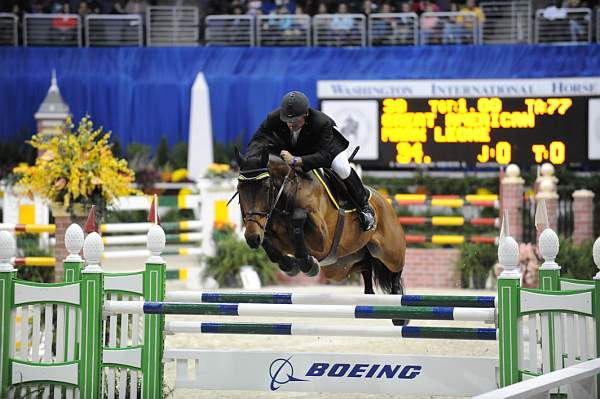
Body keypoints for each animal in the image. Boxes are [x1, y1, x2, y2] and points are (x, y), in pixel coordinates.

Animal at [234, 150, 408, 324]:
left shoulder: (321, 240)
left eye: (266, 188)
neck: (288, 194)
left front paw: (307, 264)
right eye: (239, 188)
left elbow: (298, 217)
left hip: (389, 252)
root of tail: (384, 201)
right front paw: (290, 265)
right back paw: (369, 294)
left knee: (395, 271)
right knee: (365, 264)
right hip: (339, 266)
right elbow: (270, 243)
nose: (252, 237)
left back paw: (400, 313)